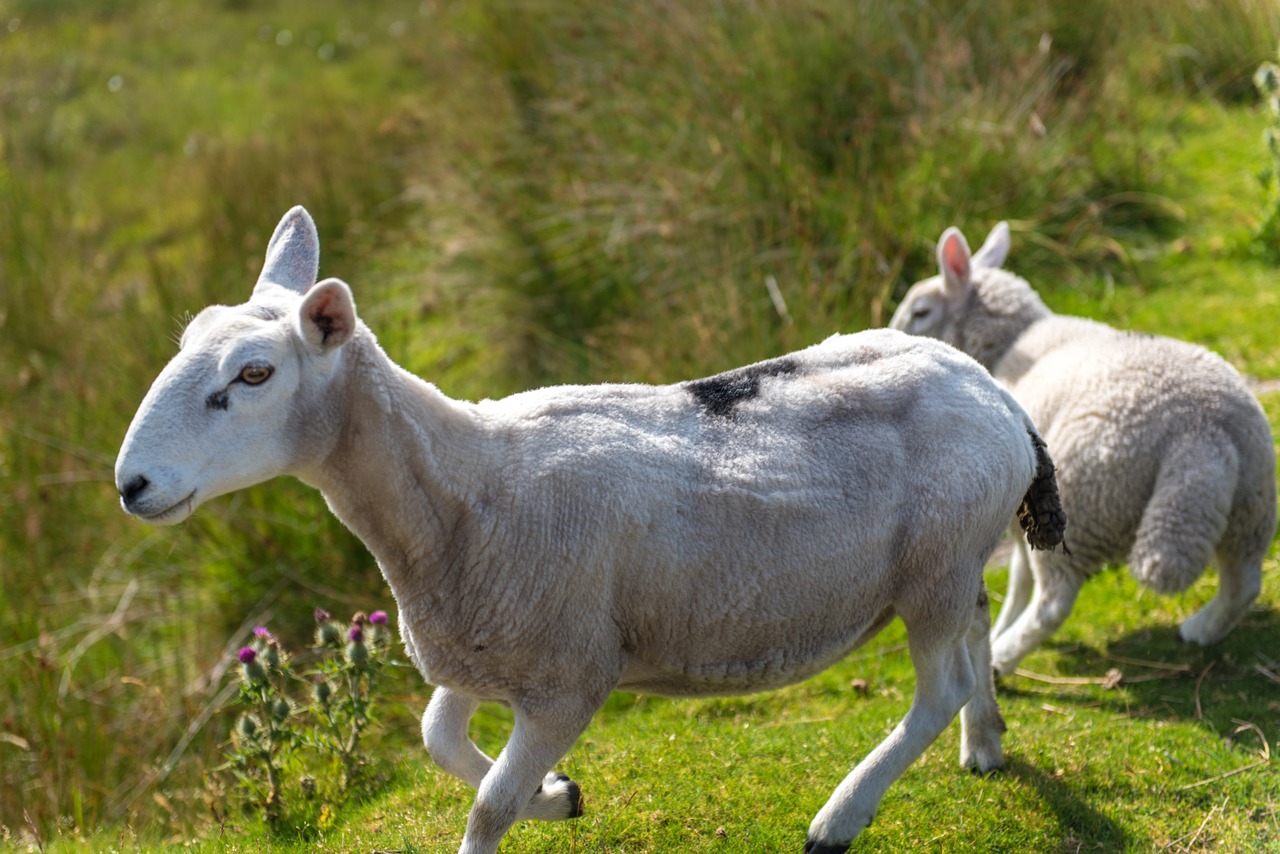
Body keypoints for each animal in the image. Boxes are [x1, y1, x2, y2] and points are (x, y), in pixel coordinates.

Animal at [117, 207, 1059, 854]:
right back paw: (986, 744)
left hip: (931, 566)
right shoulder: (486, 644)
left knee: (937, 689)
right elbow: (437, 739)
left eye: (253, 374)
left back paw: (841, 814)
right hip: (956, 554)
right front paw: (561, 795)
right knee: (977, 630)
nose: (131, 485)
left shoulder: (568, 673)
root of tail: (994, 391)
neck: (462, 492)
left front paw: (533, 796)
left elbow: (486, 805)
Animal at [890, 224, 1280, 676]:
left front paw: (1001, 630)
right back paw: (1201, 629)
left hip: (1084, 500)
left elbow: (1020, 580)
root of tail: (1200, 429)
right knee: (1244, 582)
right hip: (1251, 503)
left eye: (921, 312)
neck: (1012, 344)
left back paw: (1004, 659)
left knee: (1053, 604)